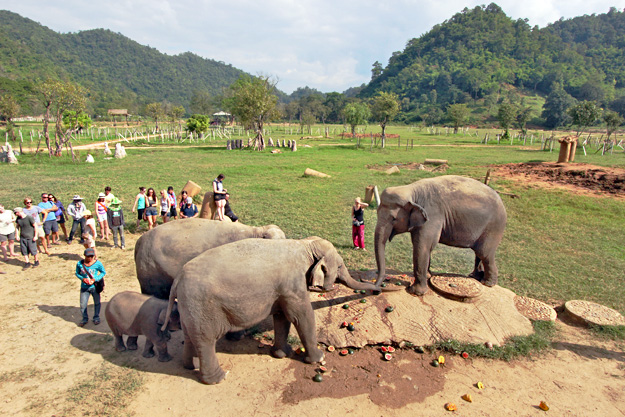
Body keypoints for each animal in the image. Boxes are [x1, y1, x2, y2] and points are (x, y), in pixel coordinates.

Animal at [161, 237, 382, 384]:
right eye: (341, 266)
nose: (378, 290)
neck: (305, 245)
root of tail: (178, 278)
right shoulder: (293, 285)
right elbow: (301, 316)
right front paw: (318, 359)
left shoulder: (282, 290)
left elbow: (282, 316)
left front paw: (281, 354)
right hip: (202, 306)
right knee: (206, 340)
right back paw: (218, 378)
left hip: (189, 307)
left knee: (191, 336)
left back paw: (189, 366)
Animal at [372, 176, 504, 296]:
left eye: (393, 219)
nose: (377, 289)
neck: (411, 190)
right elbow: (425, 246)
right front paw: (428, 276)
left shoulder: (432, 216)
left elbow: (422, 246)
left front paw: (416, 292)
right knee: (478, 253)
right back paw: (474, 276)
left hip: (494, 227)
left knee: (484, 253)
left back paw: (487, 283)